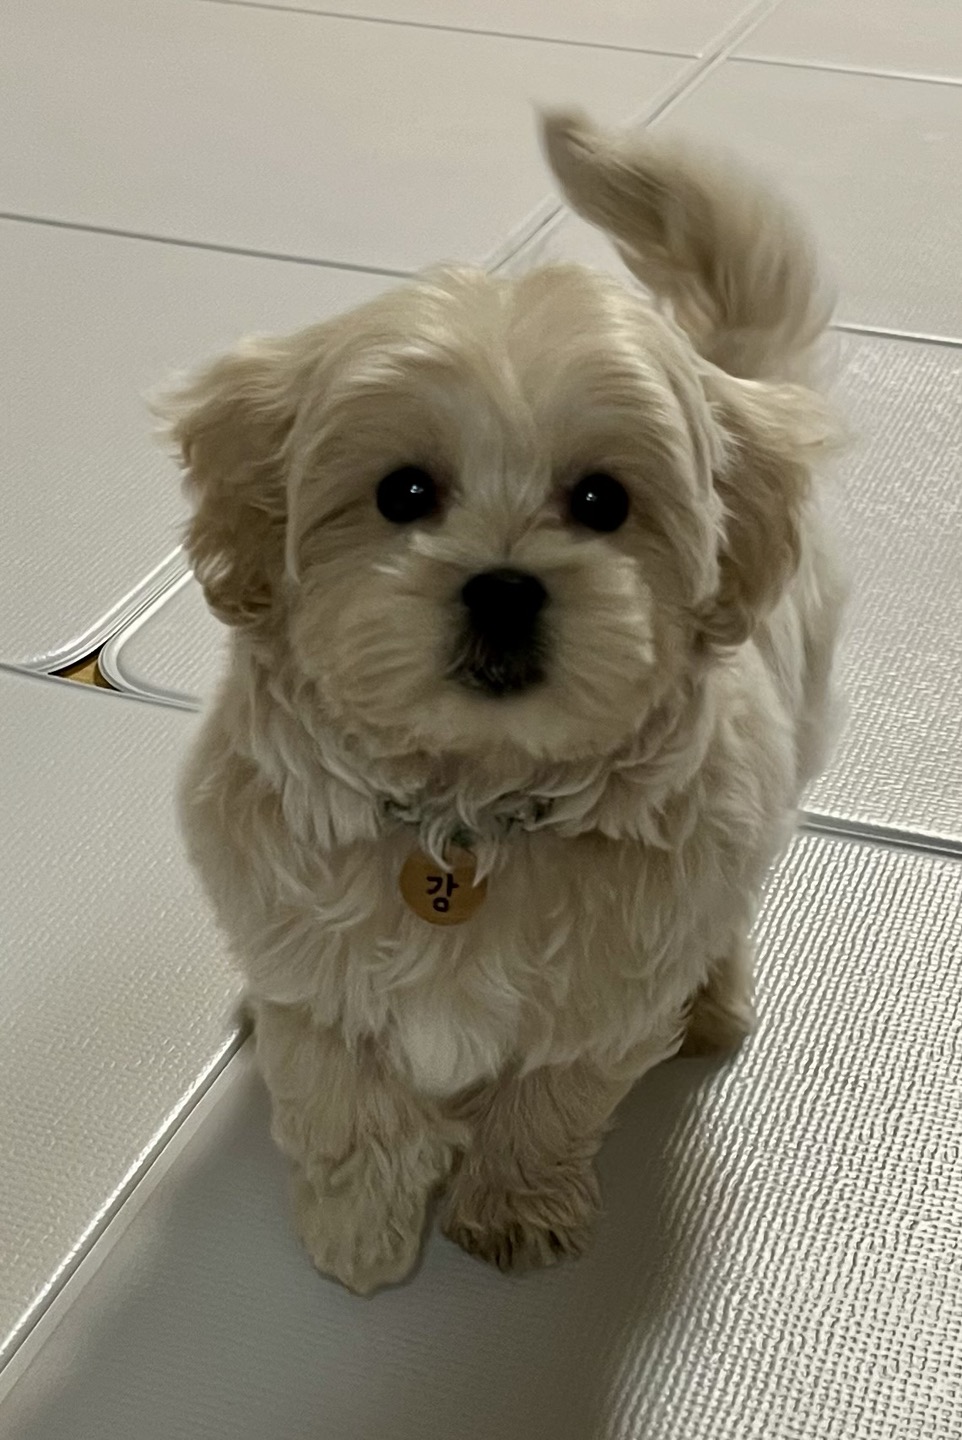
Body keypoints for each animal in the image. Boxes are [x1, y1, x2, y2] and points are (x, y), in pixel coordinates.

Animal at [166, 111, 846, 1294]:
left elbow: (552, 1095)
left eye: (602, 501)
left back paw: (712, 997)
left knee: (731, 902)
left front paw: (514, 1207)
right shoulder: (308, 956)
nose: (501, 585)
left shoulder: (605, 994)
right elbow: (343, 1099)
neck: (466, 811)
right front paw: (361, 1228)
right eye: (402, 492)